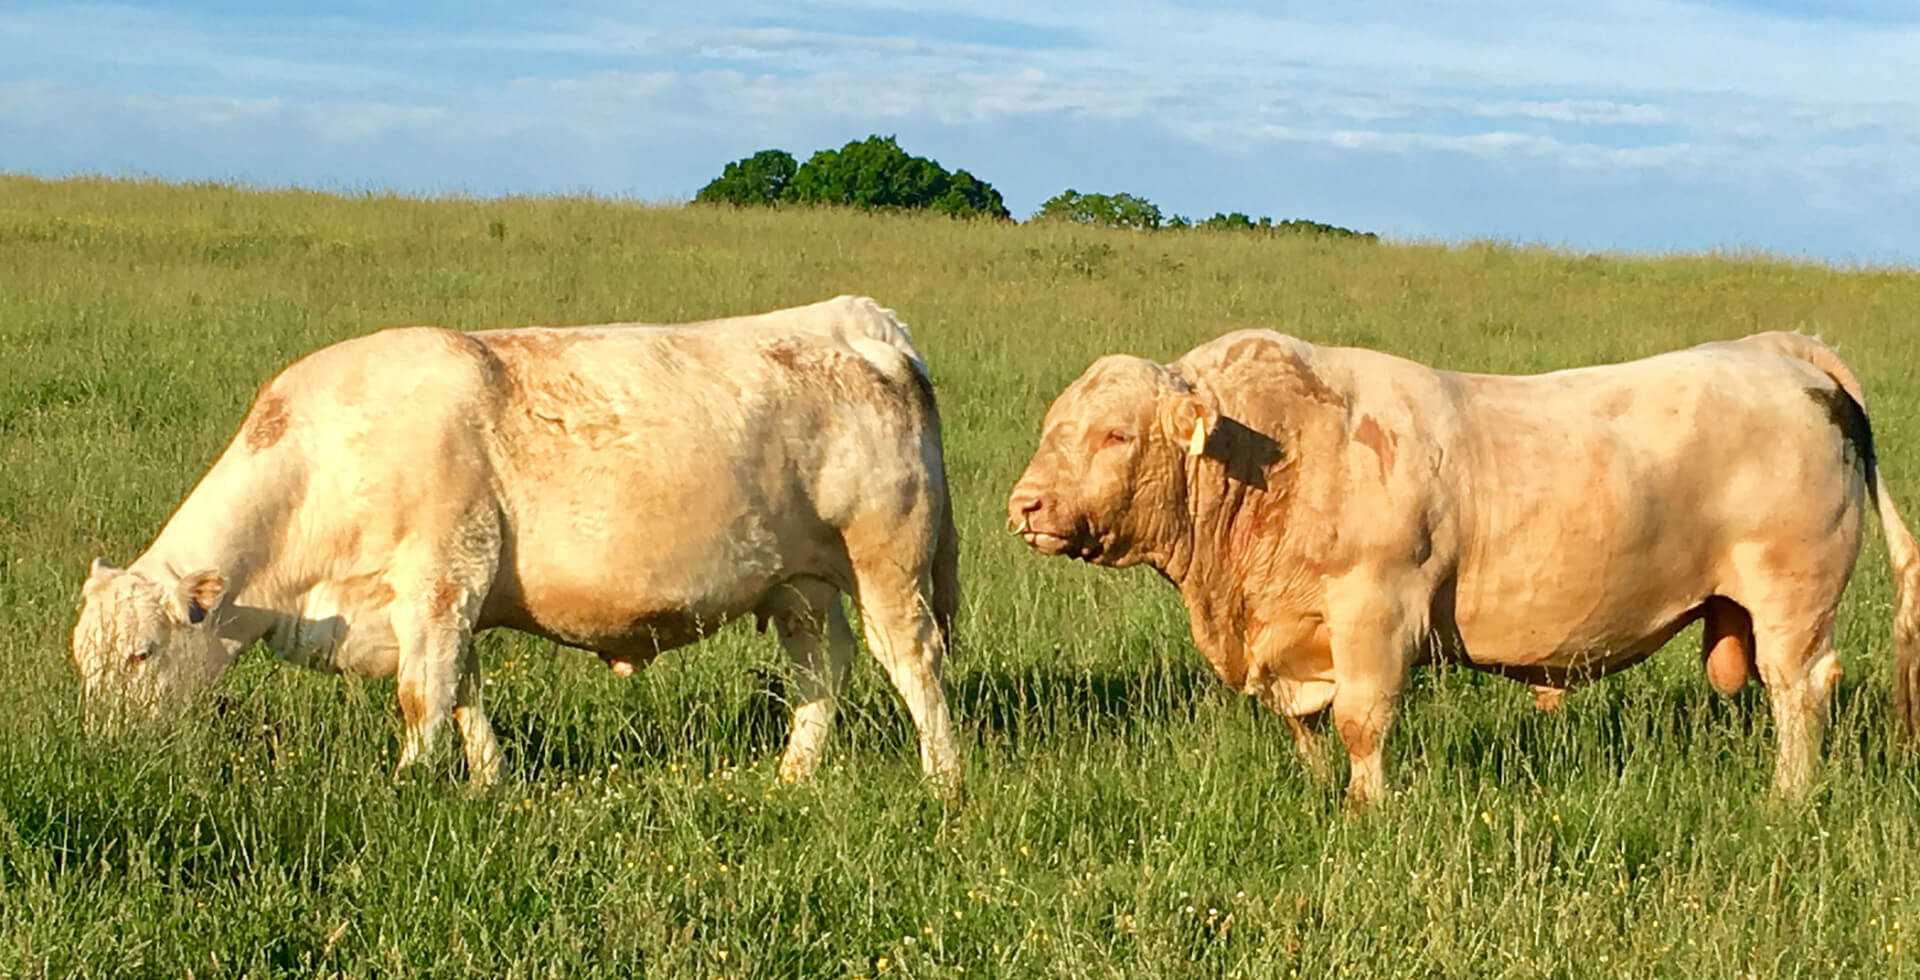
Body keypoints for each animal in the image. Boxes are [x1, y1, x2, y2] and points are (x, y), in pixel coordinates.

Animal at [72, 295, 961, 796]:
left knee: (912, 661)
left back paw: (943, 778)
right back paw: (793, 776)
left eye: (143, 654)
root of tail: (854, 322)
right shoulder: (447, 601)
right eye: (85, 663)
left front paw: (406, 786)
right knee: (823, 667)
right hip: (800, 582)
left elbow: (423, 695)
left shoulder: (439, 578)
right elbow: (462, 690)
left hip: (887, 560)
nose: (106, 753)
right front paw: (488, 781)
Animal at [1008, 329, 1920, 807]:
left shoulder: (1374, 611)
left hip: (1793, 596)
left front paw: (1364, 810)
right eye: (1055, 425)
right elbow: (1304, 725)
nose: (1026, 505)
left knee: (1800, 689)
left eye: (1117, 434)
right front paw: (1318, 789)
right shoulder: (1288, 637)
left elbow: (1360, 722)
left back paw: (1789, 796)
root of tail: (1779, 353)